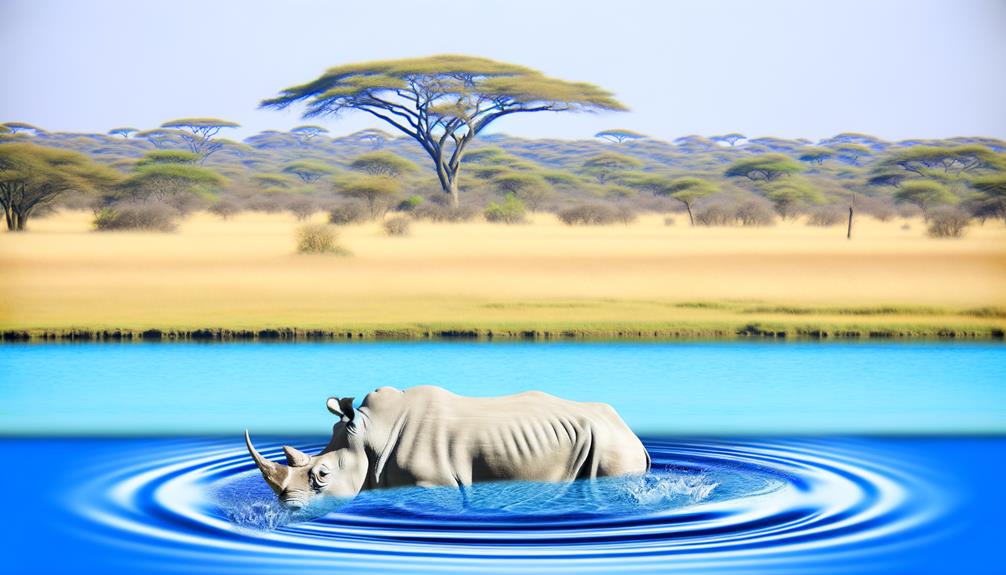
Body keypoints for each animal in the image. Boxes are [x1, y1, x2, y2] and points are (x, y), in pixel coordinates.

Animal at [245, 385, 650, 509]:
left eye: (321, 475)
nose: (286, 507)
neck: (370, 434)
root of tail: (630, 431)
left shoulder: (433, 484)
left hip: (611, 445)